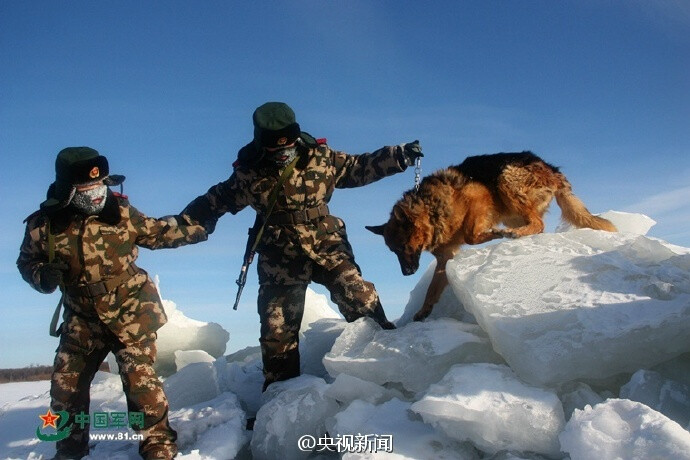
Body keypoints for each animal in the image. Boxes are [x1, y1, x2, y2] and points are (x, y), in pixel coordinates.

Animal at [366, 151, 612, 320]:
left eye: (403, 246)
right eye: (393, 251)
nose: (407, 273)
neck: (430, 208)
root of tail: (553, 171)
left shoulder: (477, 196)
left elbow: (470, 235)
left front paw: (491, 233)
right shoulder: (445, 259)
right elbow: (432, 289)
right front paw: (423, 311)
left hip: (505, 180)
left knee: (538, 223)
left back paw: (513, 234)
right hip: (512, 210)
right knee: (538, 225)